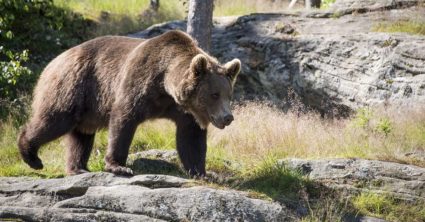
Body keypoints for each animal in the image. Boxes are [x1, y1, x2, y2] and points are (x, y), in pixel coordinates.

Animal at [17, 29, 238, 176]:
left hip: (87, 107)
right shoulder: (138, 82)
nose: (228, 117)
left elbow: (191, 138)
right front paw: (119, 166)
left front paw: (202, 172)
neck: (165, 85)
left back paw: (78, 168)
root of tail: (54, 61)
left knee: (81, 135)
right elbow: (124, 120)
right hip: (73, 86)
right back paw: (32, 156)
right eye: (215, 94)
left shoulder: (183, 109)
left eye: (229, 94)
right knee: (55, 120)